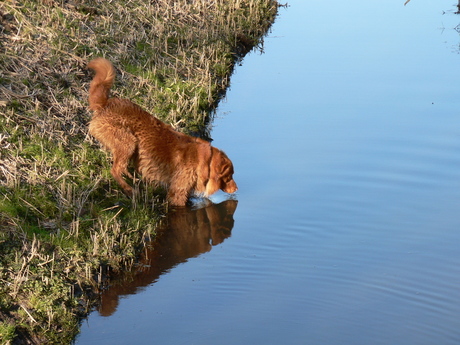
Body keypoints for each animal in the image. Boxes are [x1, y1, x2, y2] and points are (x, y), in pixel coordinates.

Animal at [86, 57, 237, 206]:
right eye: (229, 176)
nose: (236, 189)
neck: (206, 160)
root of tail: (106, 104)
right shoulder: (178, 193)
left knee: (121, 167)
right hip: (128, 143)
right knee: (115, 170)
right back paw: (129, 189)